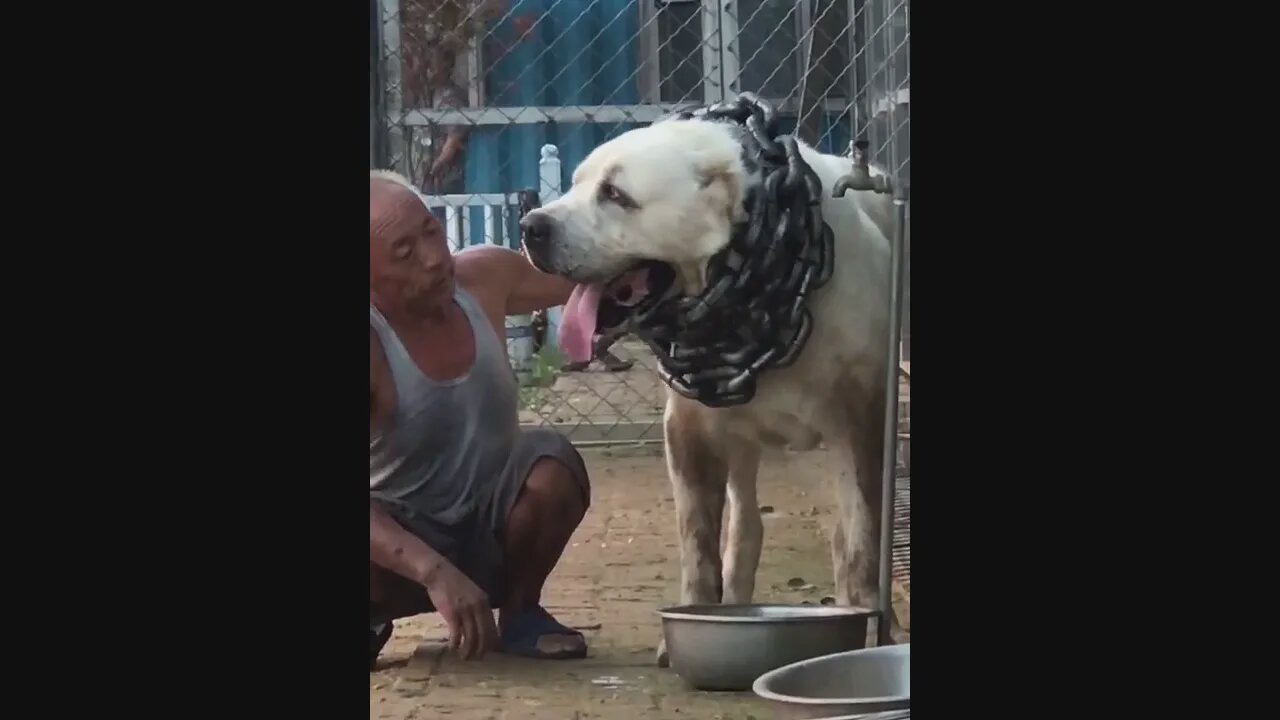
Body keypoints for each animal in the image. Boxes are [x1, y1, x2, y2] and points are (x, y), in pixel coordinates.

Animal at [519, 109, 901, 661]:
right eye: (574, 184)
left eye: (616, 194)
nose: (531, 225)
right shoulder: (690, 432)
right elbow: (699, 548)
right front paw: (689, 625)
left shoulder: (859, 426)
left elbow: (860, 543)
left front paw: (868, 626)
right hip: (736, 438)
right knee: (746, 527)